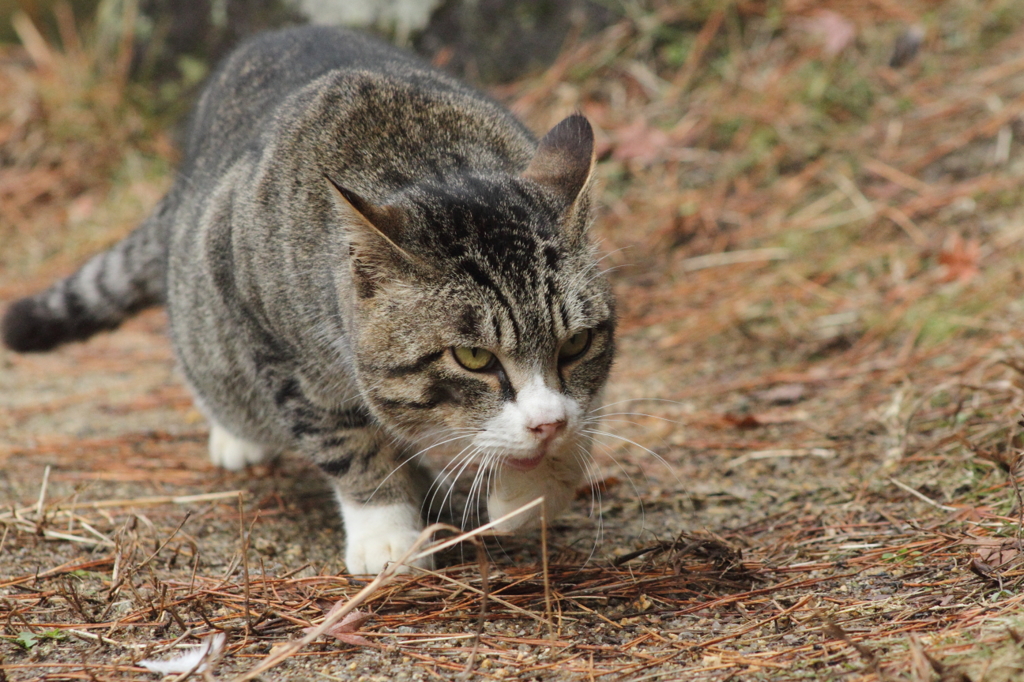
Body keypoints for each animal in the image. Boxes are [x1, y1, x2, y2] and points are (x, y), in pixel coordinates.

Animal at [2, 23, 614, 569]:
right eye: (474, 358)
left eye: (576, 344)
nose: (546, 425)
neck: (429, 161)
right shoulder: (271, 339)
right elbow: (348, 442)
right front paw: (387, 532)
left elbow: (578, 420)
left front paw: (533, 489)